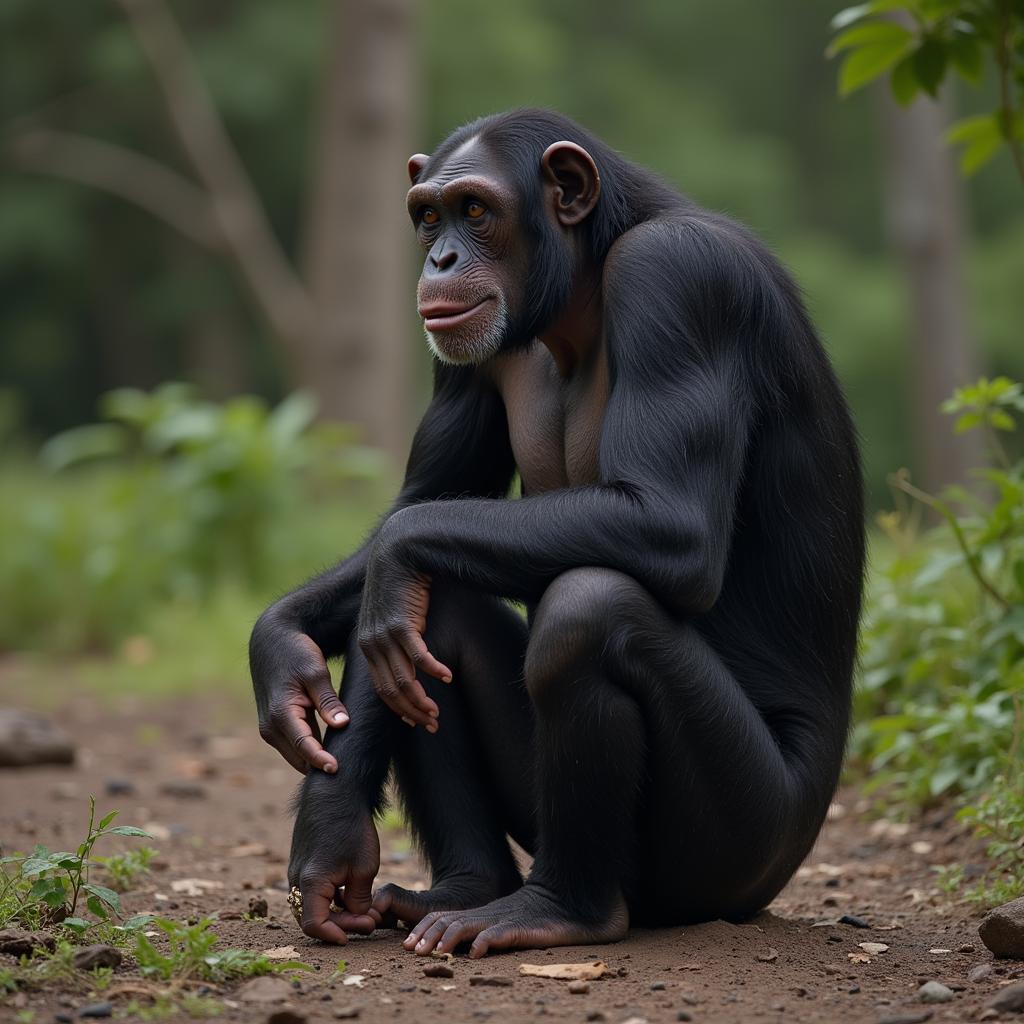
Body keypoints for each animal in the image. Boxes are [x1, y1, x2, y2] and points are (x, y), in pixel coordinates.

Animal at [249, 108, 864, 954]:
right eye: (428, 216)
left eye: (476, 211)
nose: (441, 258)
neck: (585, 287)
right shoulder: (462, 360)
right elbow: (421, 510)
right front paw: (290, 681)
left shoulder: (680, 280)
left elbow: (666, 522)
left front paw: (393, 563)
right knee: (430, 616)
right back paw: (472, 885)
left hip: (740, 847)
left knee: (588, 613)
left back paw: (559, 909)